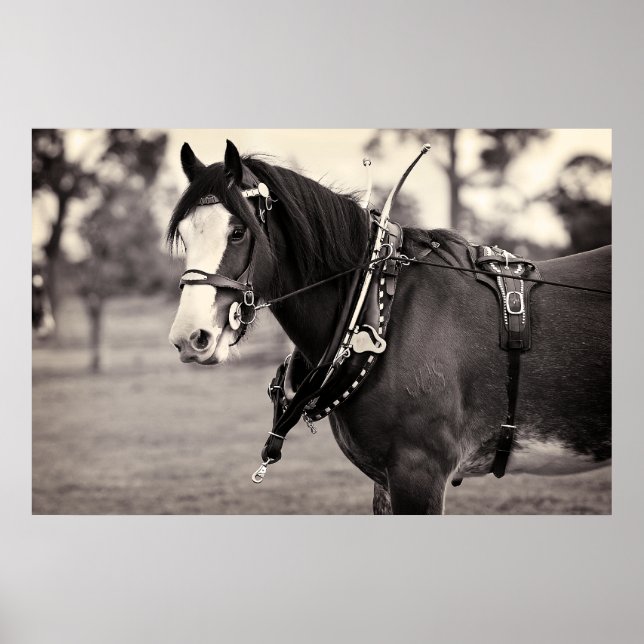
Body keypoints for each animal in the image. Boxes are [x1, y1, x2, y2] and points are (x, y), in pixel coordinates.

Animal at [167, 140, 611, 515]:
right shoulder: (386, 478)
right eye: (184, 236)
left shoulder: (420, 471)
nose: (190, 338)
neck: (380, 306)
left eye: (238, 232)